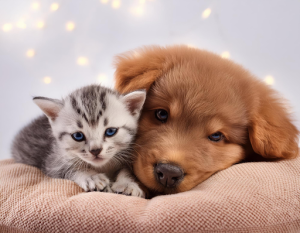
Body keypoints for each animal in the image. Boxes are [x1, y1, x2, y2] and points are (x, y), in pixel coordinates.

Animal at [11, 84, 146, 198]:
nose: (96, 150)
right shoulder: (53, 163)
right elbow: (72, 168)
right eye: (78, 136)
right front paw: (92, 176)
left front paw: (127, 184)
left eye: (110, 131)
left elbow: (127, 170)